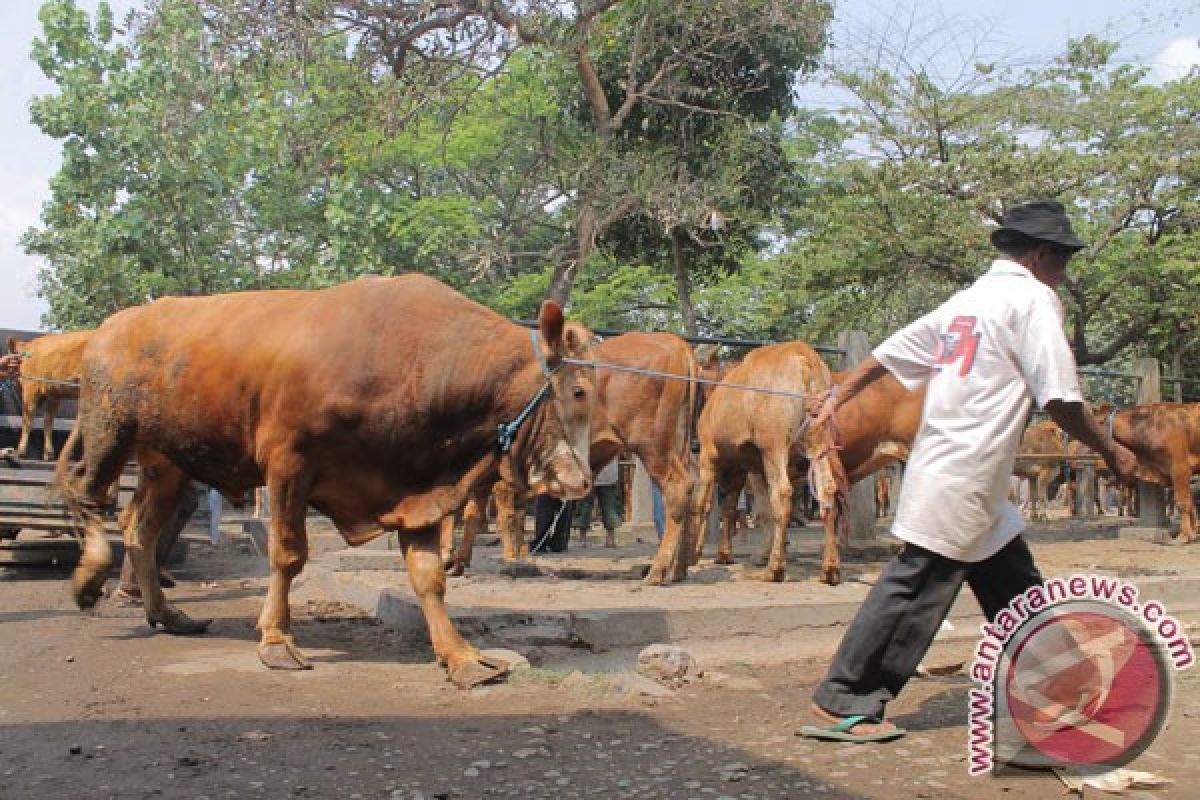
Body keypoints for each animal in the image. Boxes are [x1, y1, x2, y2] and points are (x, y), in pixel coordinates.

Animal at [6, 328, 91, 460]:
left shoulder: (30, 388)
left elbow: (27, 419)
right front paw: (48, 454)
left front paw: (20, 451)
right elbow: (48, 421)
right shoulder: (54, 394)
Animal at [60, 277, 595, 690]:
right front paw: (276, 639)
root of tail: (114, 324)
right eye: (579, 390)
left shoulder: (414, 487)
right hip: (108, 430)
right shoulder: (287, 465)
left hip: (166, 461)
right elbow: (288, 555)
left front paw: (460, 655)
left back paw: (167, 613)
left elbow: (429, 577)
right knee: (84, 492)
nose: (584, 480)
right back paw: (89, 579)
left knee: (140, 527)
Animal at [451, 331, 700, 587]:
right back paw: (678, 569)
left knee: (677, 489)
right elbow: (474, 514)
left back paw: (658, 571)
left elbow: (506, 515)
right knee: (692, 491)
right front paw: (460, 562)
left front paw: (512, 559)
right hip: (678, 445)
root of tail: (674, 342)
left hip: (652, 446)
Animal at [686, 340, 854, 585]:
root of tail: (804, 355)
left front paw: (694, 553)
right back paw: (829, 568)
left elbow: (704, 505)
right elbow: (730, 508)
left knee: (782, 494)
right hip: (817, 443)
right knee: (827, 490)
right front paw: (724, 553)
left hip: (774, 446)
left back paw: (775, 568)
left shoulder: (710, 457)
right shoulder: (743, 468)